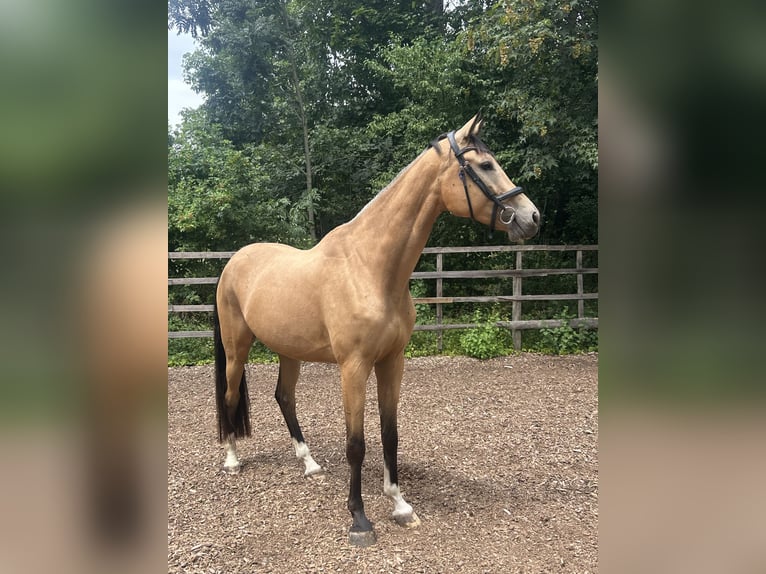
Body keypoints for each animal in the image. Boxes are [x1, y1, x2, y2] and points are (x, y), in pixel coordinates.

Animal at [212, 114, 540, 547]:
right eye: (485, 165)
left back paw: (310, 464)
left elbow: (390, 433)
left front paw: (400, 505)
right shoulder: (353, 367)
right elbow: (356, 443)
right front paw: (359, 519)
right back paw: (233, 460)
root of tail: (233, 262)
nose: (532, 217)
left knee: (284, 397)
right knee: (231, 397)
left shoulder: (391, 362)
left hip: (290, 351)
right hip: (237, 348)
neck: (370, 268)